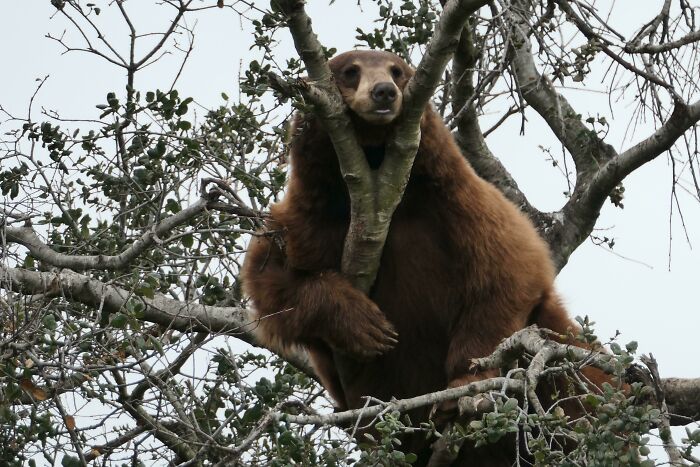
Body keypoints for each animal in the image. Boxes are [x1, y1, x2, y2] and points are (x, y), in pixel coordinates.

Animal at [241, 50, 606, 465]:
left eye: (397, 71)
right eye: (350, 71)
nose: (384, 91)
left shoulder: (457, 199)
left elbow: (507, 271)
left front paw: (466, 384)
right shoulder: (313, 214)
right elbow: (270, 281)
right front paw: (362, 322)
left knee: (571, 379)